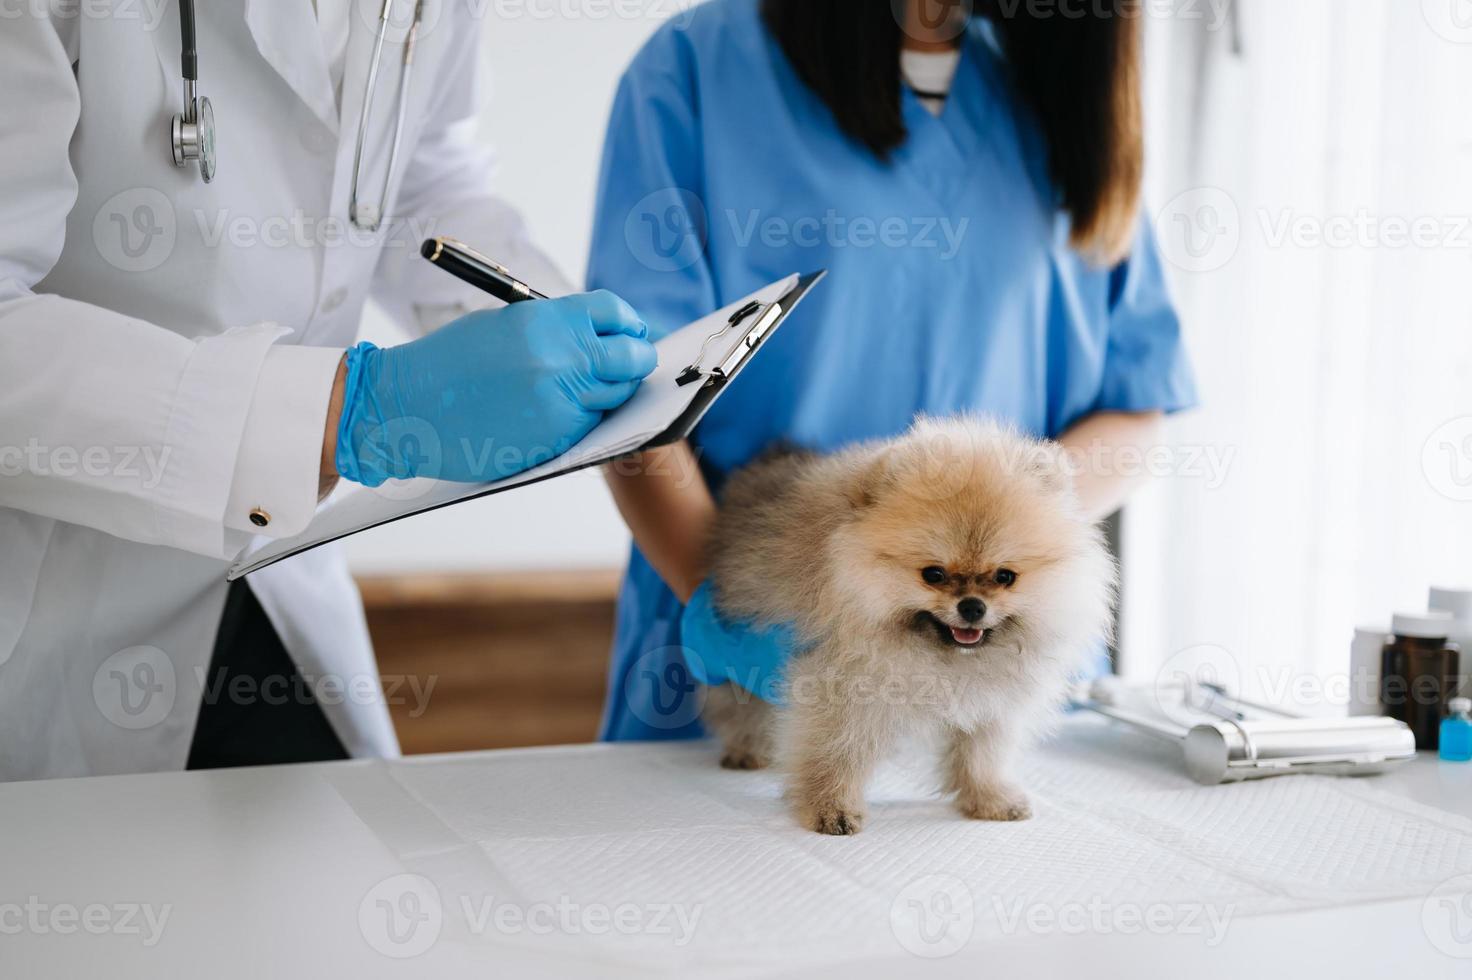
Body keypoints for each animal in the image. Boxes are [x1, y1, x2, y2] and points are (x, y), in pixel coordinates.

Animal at [700, 412, 1112, 829]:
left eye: (1004, 576)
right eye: (933, 574)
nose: (972, 606)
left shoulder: (993, 707)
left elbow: (982, 754)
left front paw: (990, 798)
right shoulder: (843, 691)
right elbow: (833, 750)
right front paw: (830, 808)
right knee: (738, 707)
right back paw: (747, 750)